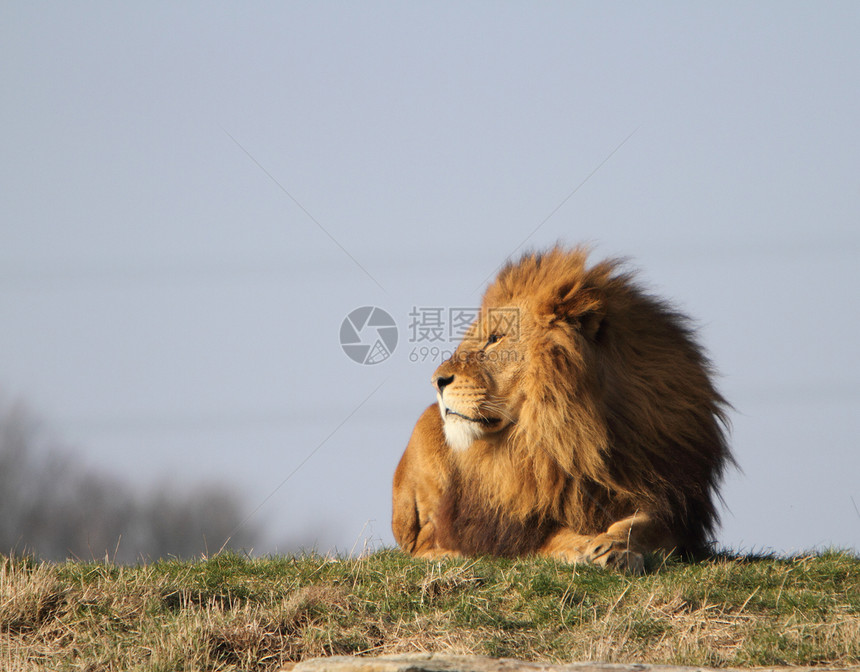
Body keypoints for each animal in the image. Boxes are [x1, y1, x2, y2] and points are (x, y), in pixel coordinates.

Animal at [390, 247, 732, 572]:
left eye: (495, 338)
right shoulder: (506, 522)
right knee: (422, 543)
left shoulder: (674, 503)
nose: (436, 381)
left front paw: (615, 546)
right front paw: (587, 547)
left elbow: (644, 524)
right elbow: (554, 535)